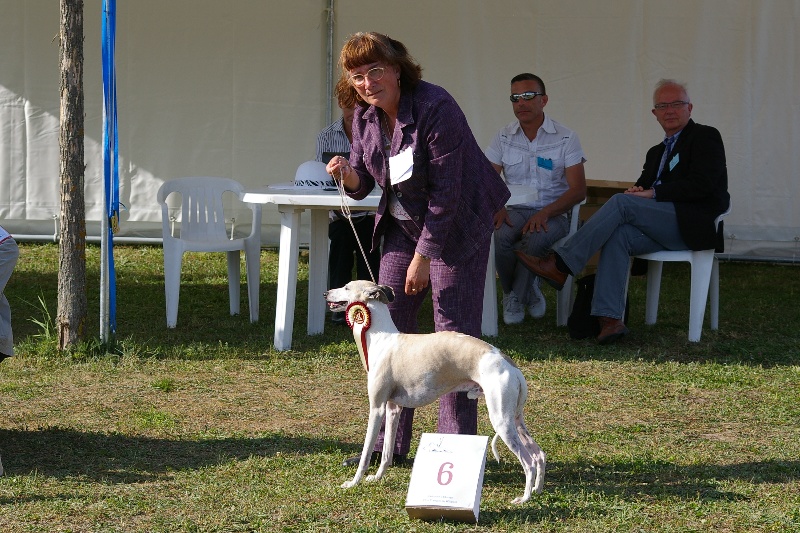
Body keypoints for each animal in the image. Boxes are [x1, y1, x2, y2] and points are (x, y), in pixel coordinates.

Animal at [324, 278, 544, 502]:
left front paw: (353, 482)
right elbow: (386, 452)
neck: (381, 339)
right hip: (515, 419)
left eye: (347, 287)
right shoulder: (393, 409)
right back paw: (536, 489)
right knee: (538, 454)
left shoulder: (376, 408)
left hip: (501, 419)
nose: (325, 293)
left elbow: (366, 452)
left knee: (528, 461)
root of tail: (510, 364)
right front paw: (377, 478)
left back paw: (524, 499)